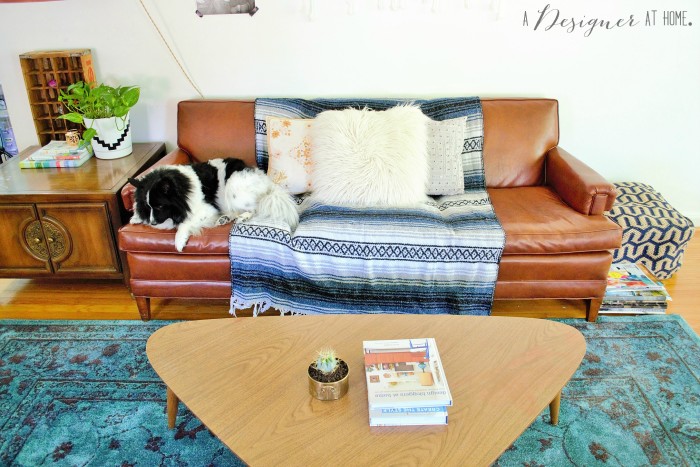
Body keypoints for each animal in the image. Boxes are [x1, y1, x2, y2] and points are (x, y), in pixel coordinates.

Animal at [130, 158, 300, 252]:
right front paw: (136, 217)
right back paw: (224, 219)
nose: (152, 222)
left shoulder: (207, 210)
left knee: (254, 207)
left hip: (233, 187)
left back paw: (243, 217)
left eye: (159, 206)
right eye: (148, 207)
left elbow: (185, 223)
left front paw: (179, 241)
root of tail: (267, 183)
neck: (183, 190)